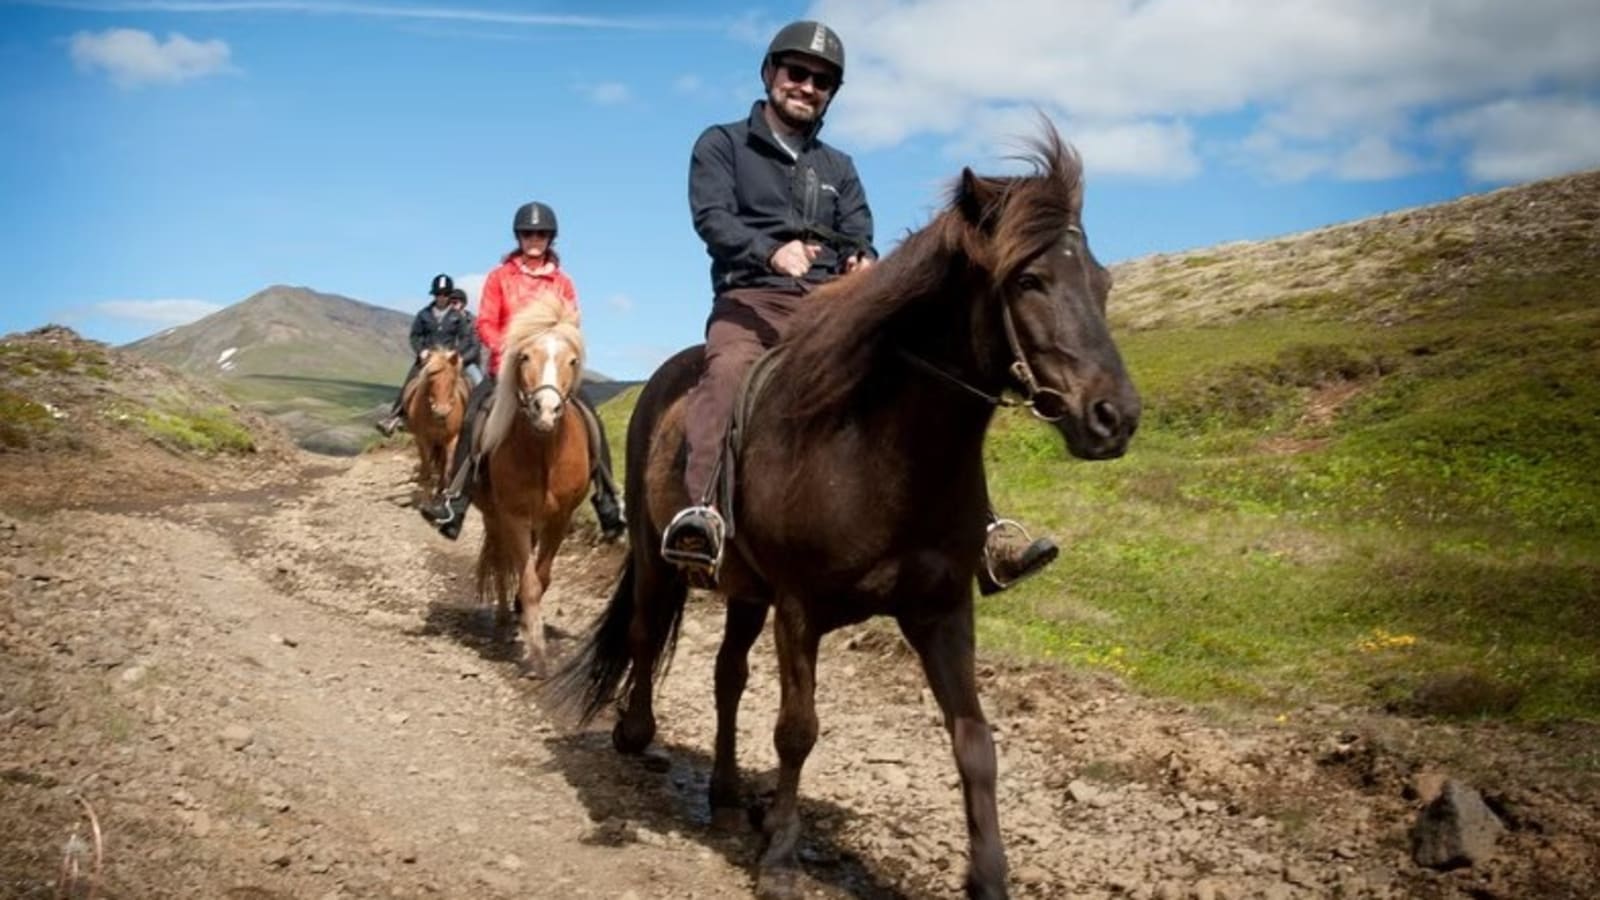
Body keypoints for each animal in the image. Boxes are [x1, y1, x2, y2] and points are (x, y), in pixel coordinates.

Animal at [402, 346, 468, 495]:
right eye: (431, 379)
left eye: (452, 380)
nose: (441, 412)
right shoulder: (422, 438)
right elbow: (427, 465)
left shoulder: (452, 437)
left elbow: (448, 465)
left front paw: (444, 488)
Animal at [473, 293, 592, 677]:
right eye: (525, 356)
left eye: (572, 360)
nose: (546, 410)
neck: (543, 454)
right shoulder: (513, 517)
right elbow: (527, 582)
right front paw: (537, 652)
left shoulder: (560, 519)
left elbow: (542, 578)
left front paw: (528, 625)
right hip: (494, 517)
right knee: (499, 561)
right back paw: (501, 618)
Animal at [548, 124, 1141, 899]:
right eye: (1028, 281)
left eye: (1100, 284)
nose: (1115, 419)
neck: (878, 453)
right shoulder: (801, 609)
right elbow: (797, 729)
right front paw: (780, 857)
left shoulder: (941, 609)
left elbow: (975, 741)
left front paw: (988, 877)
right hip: (658, 560)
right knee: (649, 635)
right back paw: (637, 733)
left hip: (747, 593)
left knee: (728, 676)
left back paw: (728, 791)